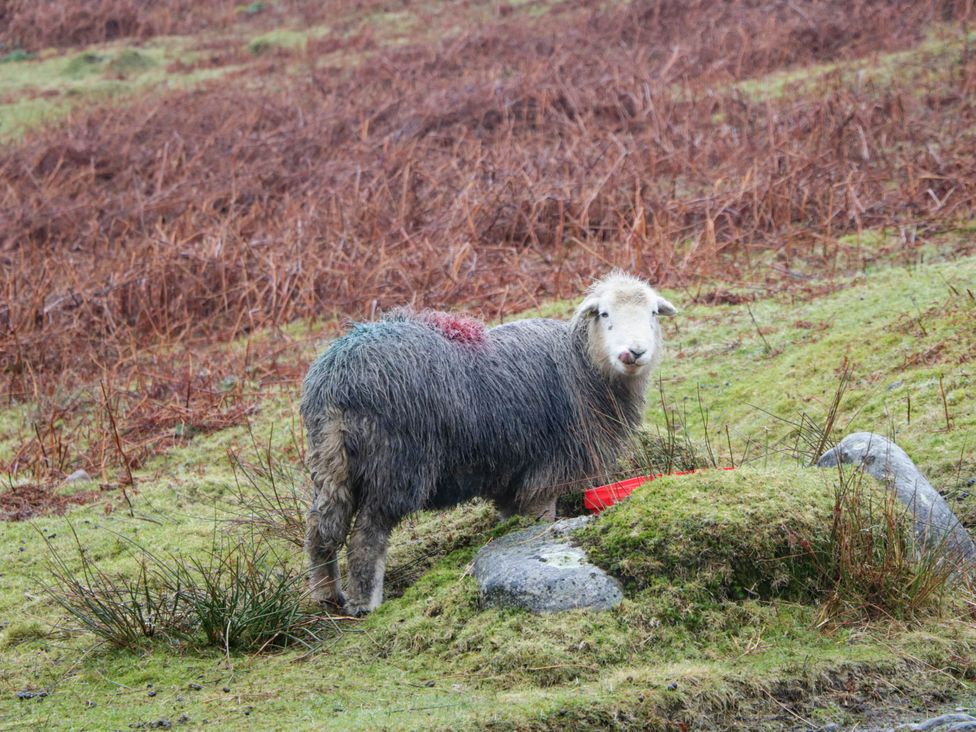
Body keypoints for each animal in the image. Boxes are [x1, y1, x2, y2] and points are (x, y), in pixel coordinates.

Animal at [300, 272, 677, 615]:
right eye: (604, 314)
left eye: (653, 313)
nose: (635, 352)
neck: (583, 364)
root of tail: (339, 378)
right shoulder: (548, 469)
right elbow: (541, 520)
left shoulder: (510, 475)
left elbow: (512, 518)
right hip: (395, 463)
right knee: (367, 536)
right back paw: (365, 604)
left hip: (329, 459)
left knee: (320, 527)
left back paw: (326, 594)